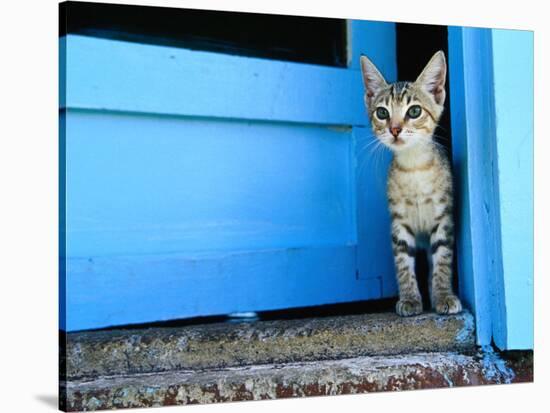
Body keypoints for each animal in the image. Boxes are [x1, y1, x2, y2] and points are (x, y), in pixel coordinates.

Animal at [362, 51, 466, 316]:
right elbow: (402, 262)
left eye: (414, 111)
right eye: (382, 113)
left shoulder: (443, 218)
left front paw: (443, 295)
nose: (395, 129)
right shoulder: (399, 222)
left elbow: (442, 259)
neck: (413, 168)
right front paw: (409, 298)